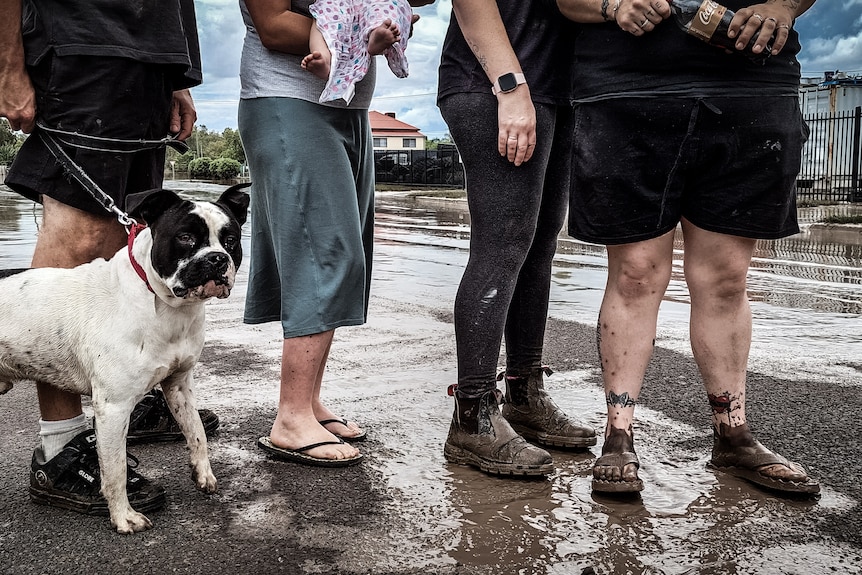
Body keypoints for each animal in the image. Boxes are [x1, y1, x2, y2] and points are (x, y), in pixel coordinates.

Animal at [0, 184, 250, 536]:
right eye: (185, 237)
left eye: (230, 240)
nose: (217, 258)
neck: (166, 307)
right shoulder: (113, 408)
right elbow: (115, 469)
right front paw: (122, 517)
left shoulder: (179, 385)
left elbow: (197, 432)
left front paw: (203, 473)